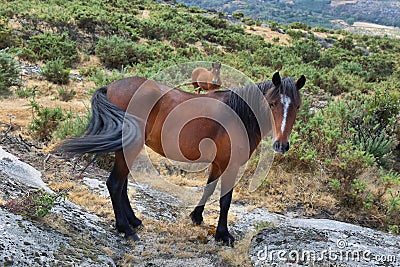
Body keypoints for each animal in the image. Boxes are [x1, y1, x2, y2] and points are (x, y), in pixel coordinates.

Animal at [57, 71, 306, 247]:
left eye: (297, 106)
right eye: (272, 104)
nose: (281, 145)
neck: (239, 114)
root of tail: (111, 87)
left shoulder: (218, 163)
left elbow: (208, 188)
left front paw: (196, 216)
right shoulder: (232, 165)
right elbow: (225, 200)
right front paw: (223, 234)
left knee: (123, 184)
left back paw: (134, 221)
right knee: (115, 183)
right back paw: (125, 229)